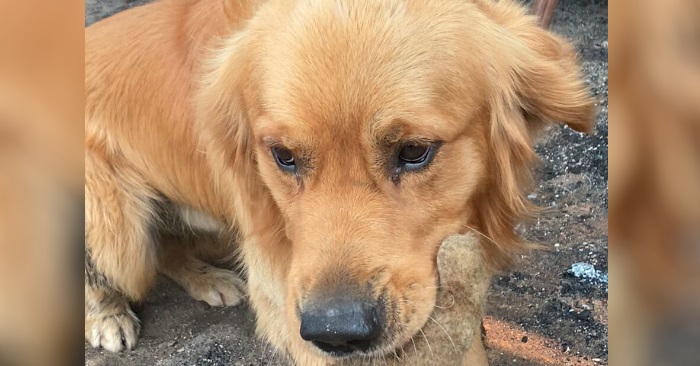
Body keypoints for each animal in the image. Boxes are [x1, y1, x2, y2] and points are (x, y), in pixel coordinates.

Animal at [85, 0, 592, 364]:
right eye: (283, 156)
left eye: (414, 151)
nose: (336, 333)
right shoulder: (283, 281)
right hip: (119, 231)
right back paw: (107, 315)